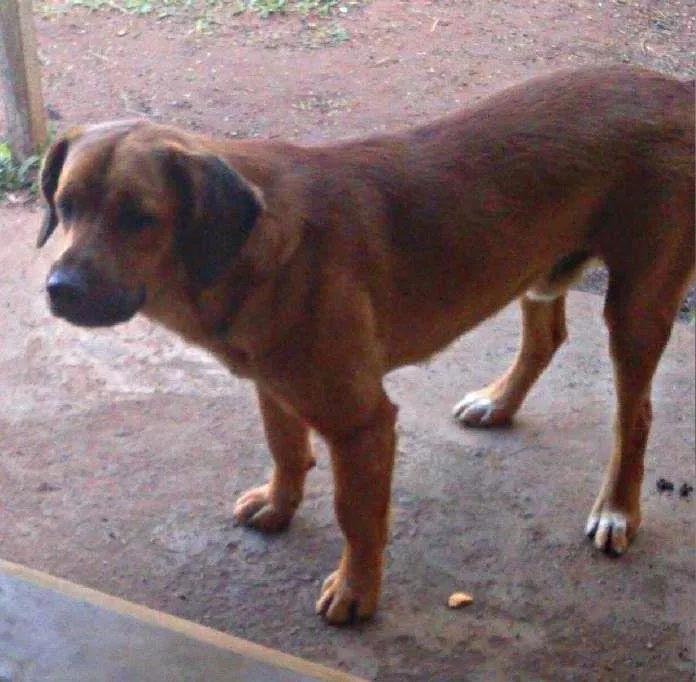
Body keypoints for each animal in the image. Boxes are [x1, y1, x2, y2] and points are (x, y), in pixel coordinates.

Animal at [39, 66, 696, 624]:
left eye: (138, 217)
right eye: (64, 206)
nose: (60, 289)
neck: (251, 252)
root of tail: (675, 89)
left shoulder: (363, 424)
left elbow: (356, 516)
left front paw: (356, 591)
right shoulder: (273, 384)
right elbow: (284, 447)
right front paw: (279, 503)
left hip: (635, 310)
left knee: (635, 416)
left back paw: (617, 508)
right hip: (539, 271)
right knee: (547, 337)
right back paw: (498, 403)